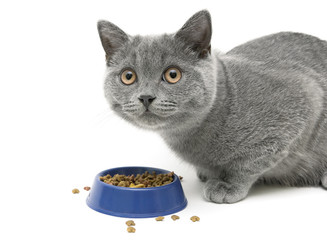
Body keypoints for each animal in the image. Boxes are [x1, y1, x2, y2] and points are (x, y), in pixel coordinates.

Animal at [97, 10, 327, 203]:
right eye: (128, 76)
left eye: (173, 74)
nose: (146, 97)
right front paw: (209, 174)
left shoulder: (306, 95)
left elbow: (249, 164)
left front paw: (227, 185)